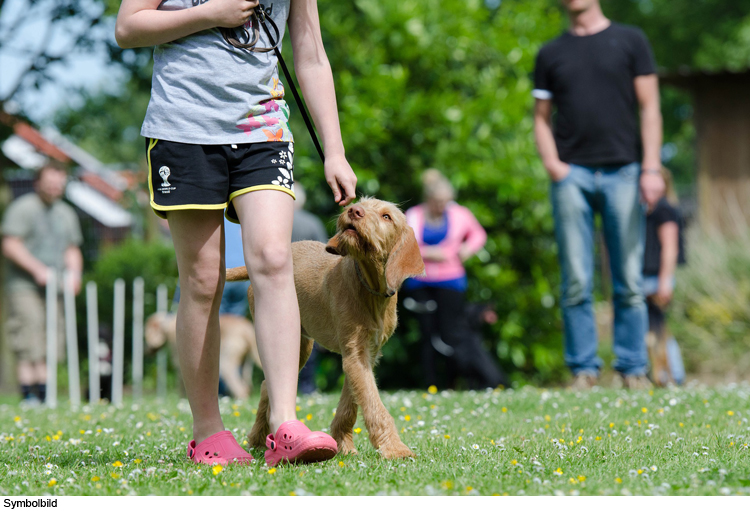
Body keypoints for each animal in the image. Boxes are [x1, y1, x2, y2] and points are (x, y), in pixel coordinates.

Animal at [226, 196, 426, 458]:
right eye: (362, 203)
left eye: (386, 216)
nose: (353, 210)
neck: (370, 288)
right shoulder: (355, 354)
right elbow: (373, 403)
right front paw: (395, 448)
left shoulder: (364, 355)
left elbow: (351, 403)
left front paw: (343, 444)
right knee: (266, 385)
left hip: (300, 346)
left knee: (265, 386)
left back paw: (259, 439)